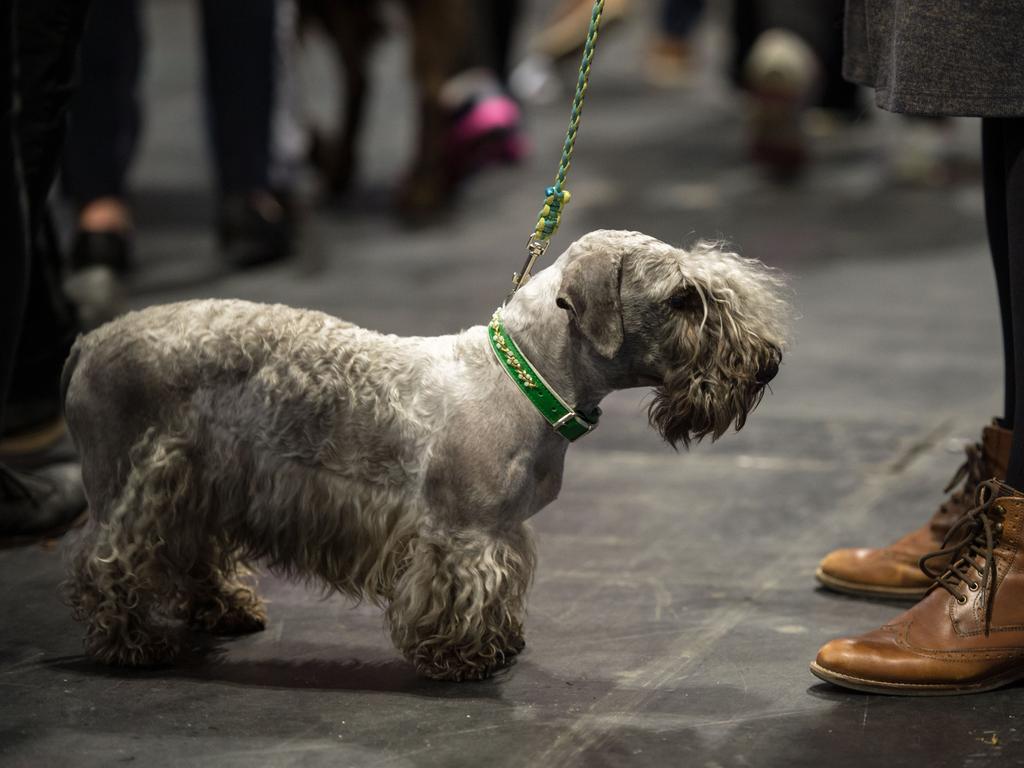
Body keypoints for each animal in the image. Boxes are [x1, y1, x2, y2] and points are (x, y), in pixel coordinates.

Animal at [61, 228, 782, 679]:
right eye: (682, 298)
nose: (767, 365)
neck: (525, 378)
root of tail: (88, 341)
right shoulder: (461, 534)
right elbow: (459, 594)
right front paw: (464, 659)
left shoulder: (502, 531)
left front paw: (498, 644)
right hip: (128, 487)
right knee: (106, 563)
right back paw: (133, 644)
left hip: (199, 482)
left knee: (192, 553)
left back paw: (226, 610)